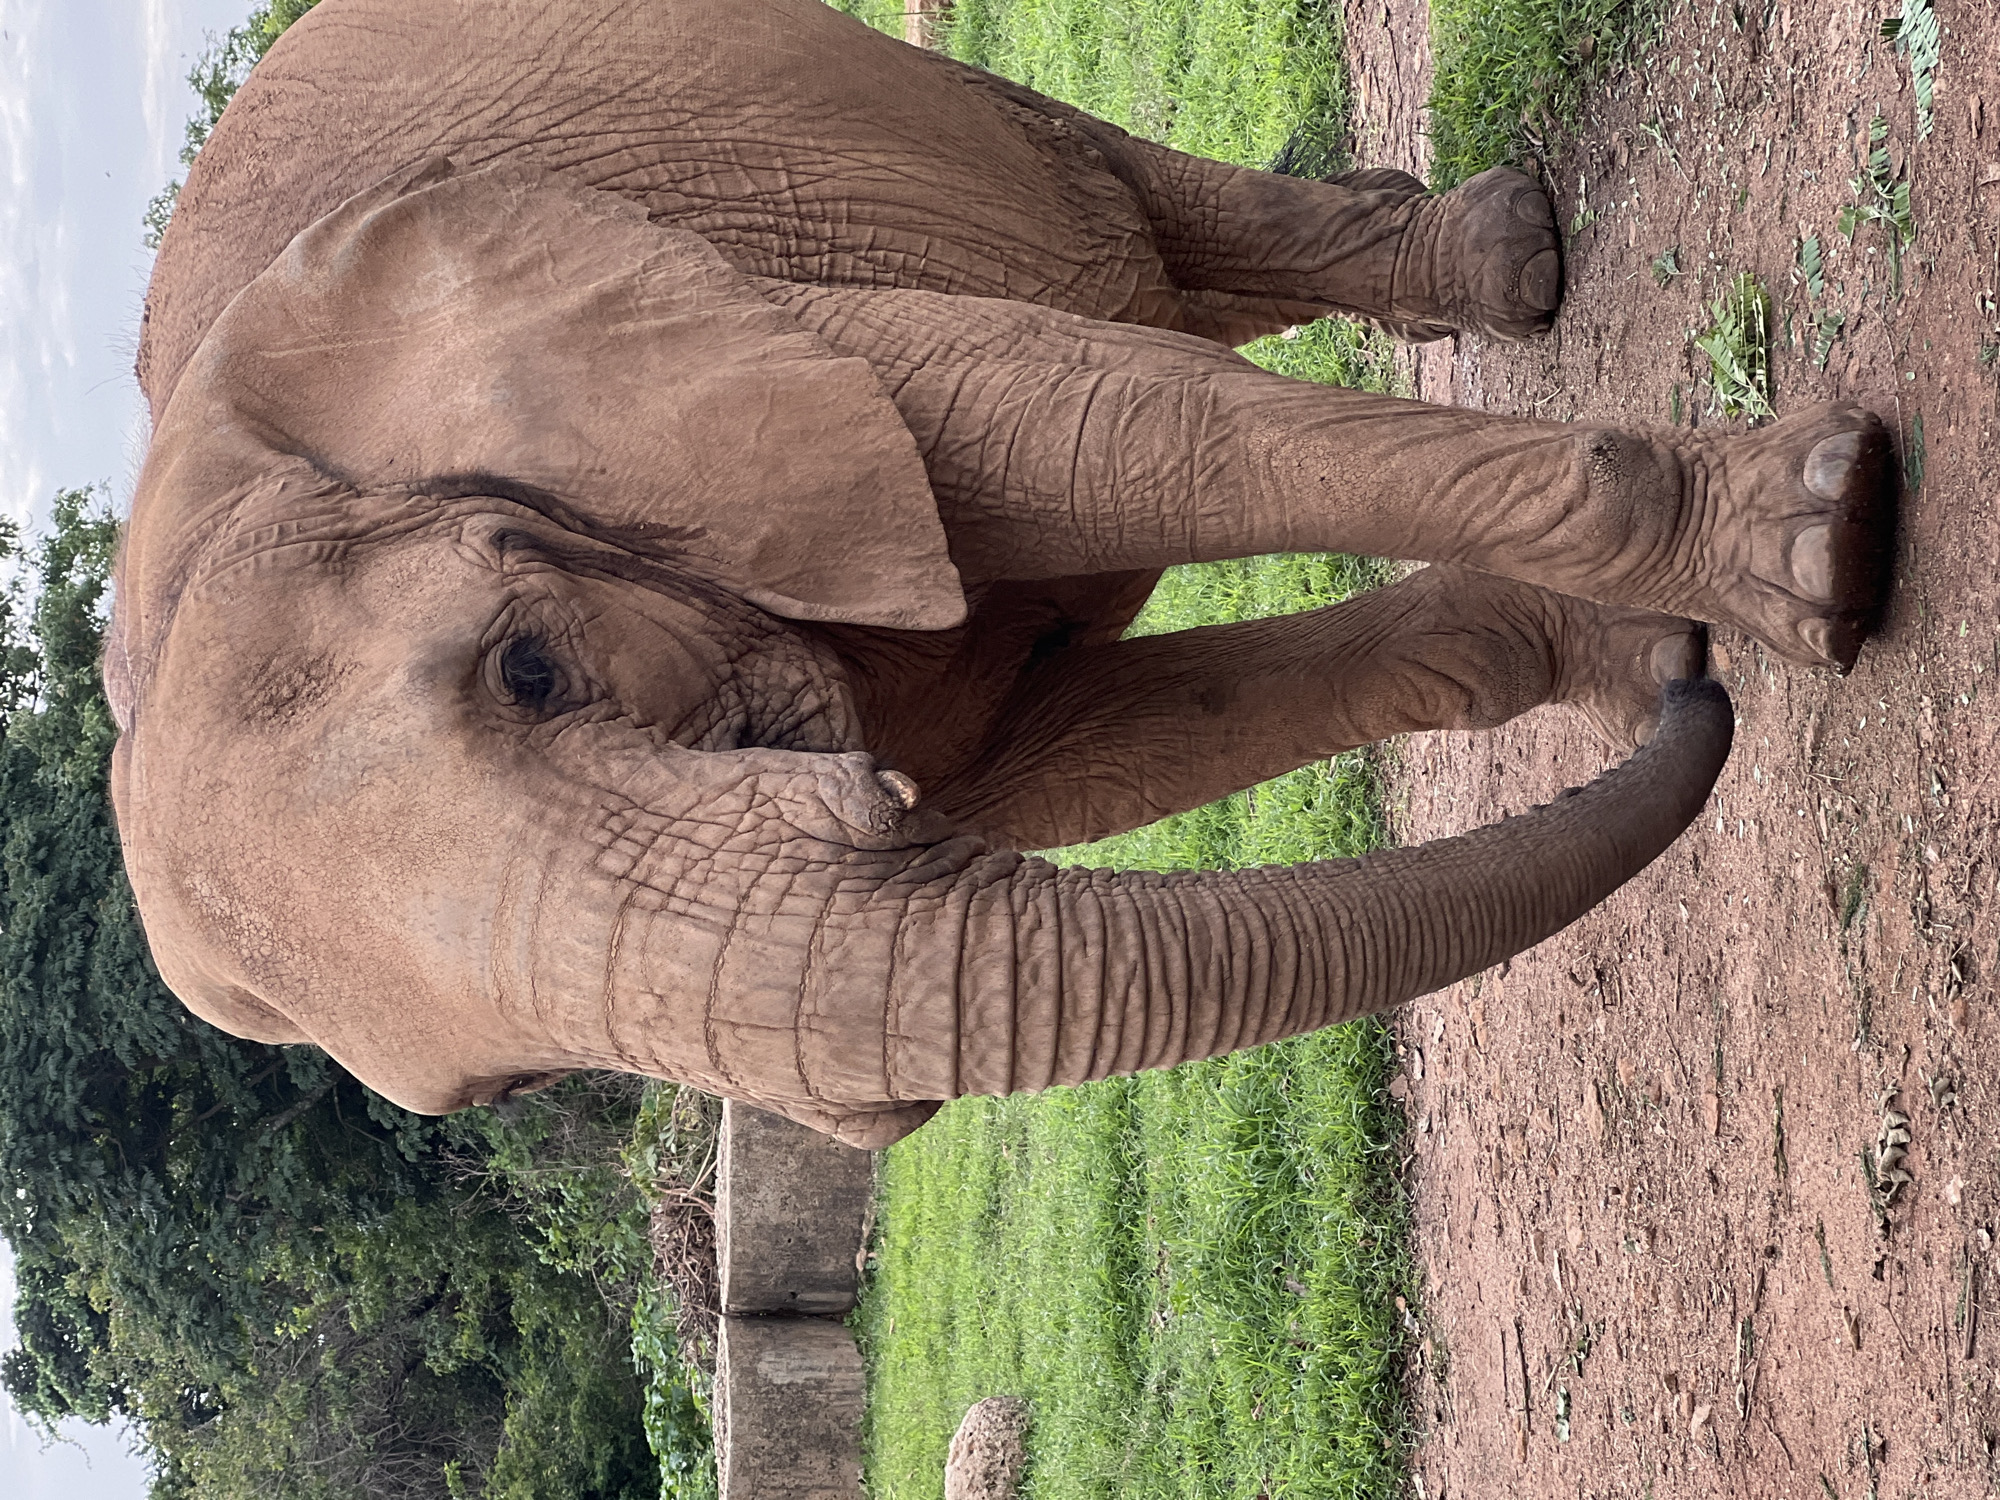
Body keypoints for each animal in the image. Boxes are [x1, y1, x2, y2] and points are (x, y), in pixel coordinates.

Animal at [109, 0, 1893, 1148]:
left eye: (529, 667)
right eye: (510, 1090)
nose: (1698, 711)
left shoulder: (736, 335)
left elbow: (1081, 428)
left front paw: (1812, 553)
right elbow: (1102, 744)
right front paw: (1640, 653)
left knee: (1119, 221)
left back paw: (1512, 262)